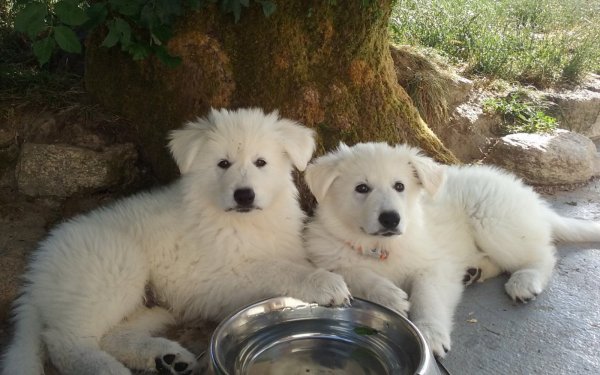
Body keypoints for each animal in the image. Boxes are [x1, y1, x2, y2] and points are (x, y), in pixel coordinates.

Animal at [2, 108, 352, 375]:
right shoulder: (218, 276)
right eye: (223, 164)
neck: (244, 222)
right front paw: (325, 283)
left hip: (150, 305)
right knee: (66, 341)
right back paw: (110, 370)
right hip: (113, 270)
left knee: (109, 335)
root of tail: (38, 269)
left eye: (261, 162)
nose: (244, 195)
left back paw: (166, 358)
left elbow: (297, 260)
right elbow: (277, 268)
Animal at [304, 143, 600, 358]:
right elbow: (354, 273)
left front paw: (430, 334)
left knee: (543, 254)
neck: (381, 247)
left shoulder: (433, 265)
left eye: (400, 186)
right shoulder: (327, 257)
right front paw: (389, 295)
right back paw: (473, 272)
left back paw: (525, 280)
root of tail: (529, 196)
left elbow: (428, 298)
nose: (391, 219)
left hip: (493, 222)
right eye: (361, 188)